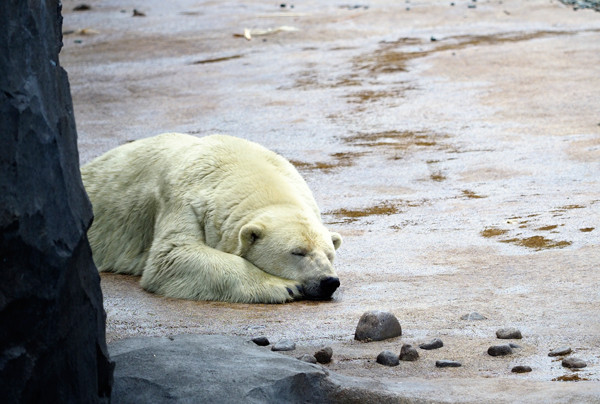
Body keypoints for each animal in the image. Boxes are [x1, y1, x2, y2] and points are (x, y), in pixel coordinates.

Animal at [80, 133, 342, 304]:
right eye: (297, 252)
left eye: (330, 254)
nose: (328, 281)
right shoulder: (184, 199)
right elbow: (173, 254)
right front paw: (284, 286)